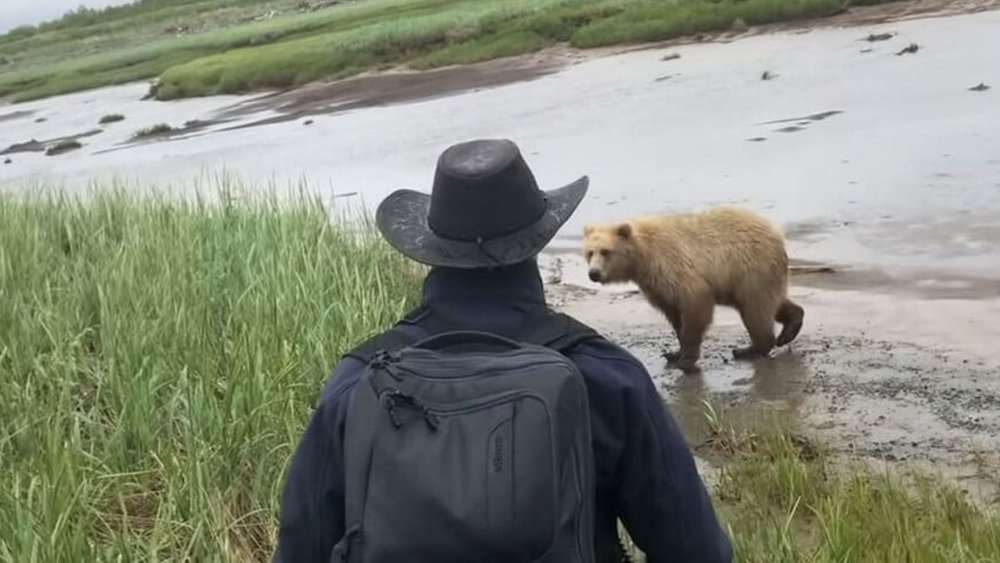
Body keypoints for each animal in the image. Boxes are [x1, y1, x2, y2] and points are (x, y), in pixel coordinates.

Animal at [582, 206, 804, 374]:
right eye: (589, 253)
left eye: (606, 251)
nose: (593, 273)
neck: (642, 258)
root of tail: (777, 234)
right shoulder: (656, 286)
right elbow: (674, 316)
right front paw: (674, 353)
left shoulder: (673, 267)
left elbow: (695, 304)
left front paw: (686, 360)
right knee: (770, 303)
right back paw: (788, 328)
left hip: (750, 267)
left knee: (755, 309)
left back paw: (749, 349)